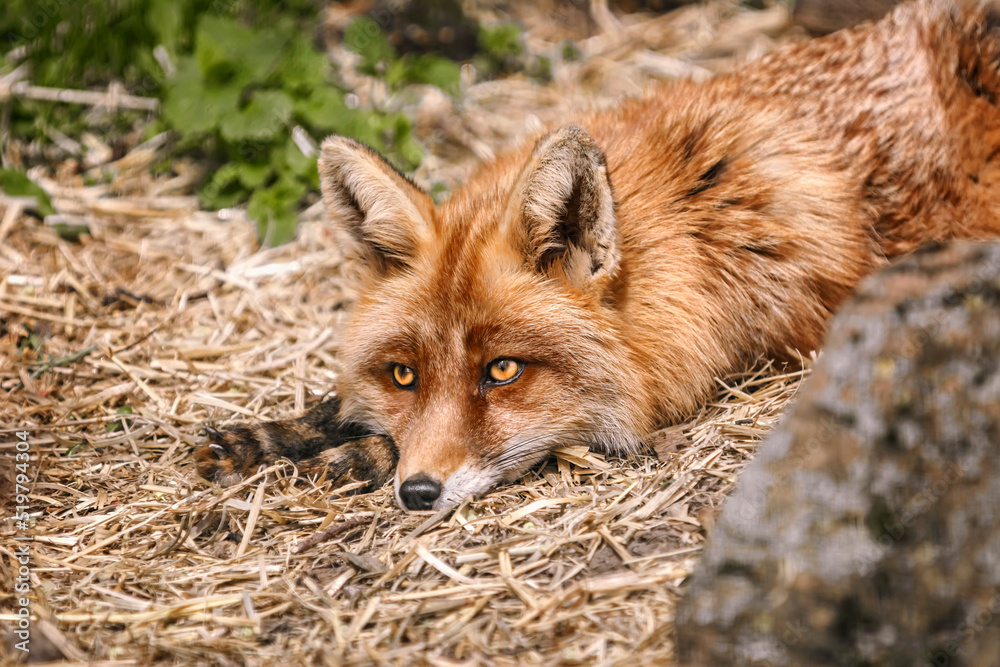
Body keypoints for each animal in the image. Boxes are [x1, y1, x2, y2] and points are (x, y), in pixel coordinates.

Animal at [196, 0, 1000, 511]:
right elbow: (333, 408)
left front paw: (354, 455)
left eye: (504, 371)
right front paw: (270, 435)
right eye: (403, 374)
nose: (418, 494)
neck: (699, 222)